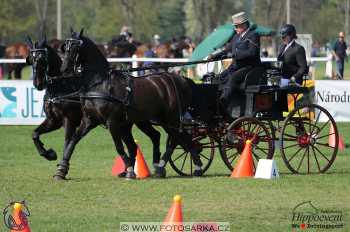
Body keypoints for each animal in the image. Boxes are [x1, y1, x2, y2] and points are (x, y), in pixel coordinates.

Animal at [25, 35, 162, 179]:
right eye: (31, 59)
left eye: (42, 59)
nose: (38, 83)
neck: (62, 86)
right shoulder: (54, 121)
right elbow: (35, 134)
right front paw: (49, 154)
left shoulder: (69, 121)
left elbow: (67, 142)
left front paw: (61, 169)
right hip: (128, 123)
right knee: (142, 141)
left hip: (140, 120)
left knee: (154, 136)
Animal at [59, 29, 202, 178]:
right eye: (65, 46)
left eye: (75, 47)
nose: (64, 69)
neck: (100, 84)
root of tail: (181, 80)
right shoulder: (89, 120)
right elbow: (73, 140)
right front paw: (61, 170)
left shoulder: (112, 122)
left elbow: (119, 147)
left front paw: (129, 169)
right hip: (145, 120)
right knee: (161, 137)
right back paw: (159, 167)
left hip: (170, 119)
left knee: (180, 139)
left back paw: (194, 167)